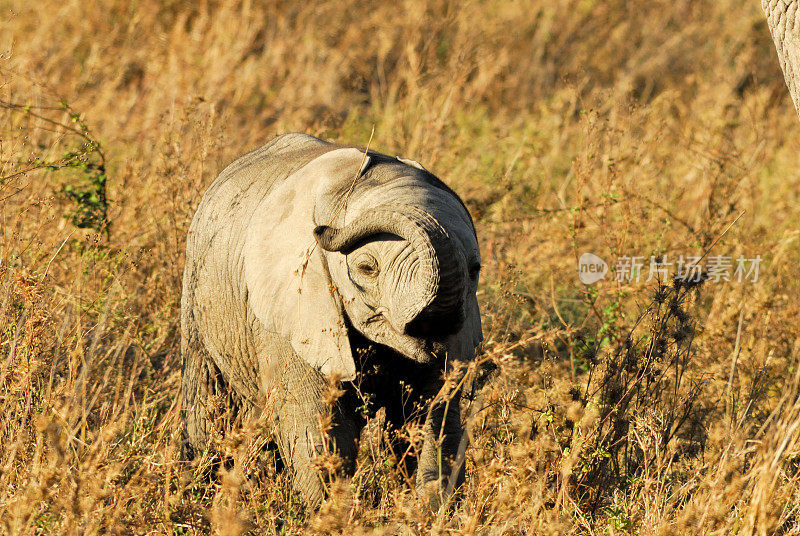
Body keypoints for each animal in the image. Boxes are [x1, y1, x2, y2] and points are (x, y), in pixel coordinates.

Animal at [181, 132, 482, 508]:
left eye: (475, 270)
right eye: (367, 269)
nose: (321, 230)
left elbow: (434, 415)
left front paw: (424, 510)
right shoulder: (293, 313)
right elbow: (318, 426)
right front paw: (335, 512)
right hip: (197, 297)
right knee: (208, 404)